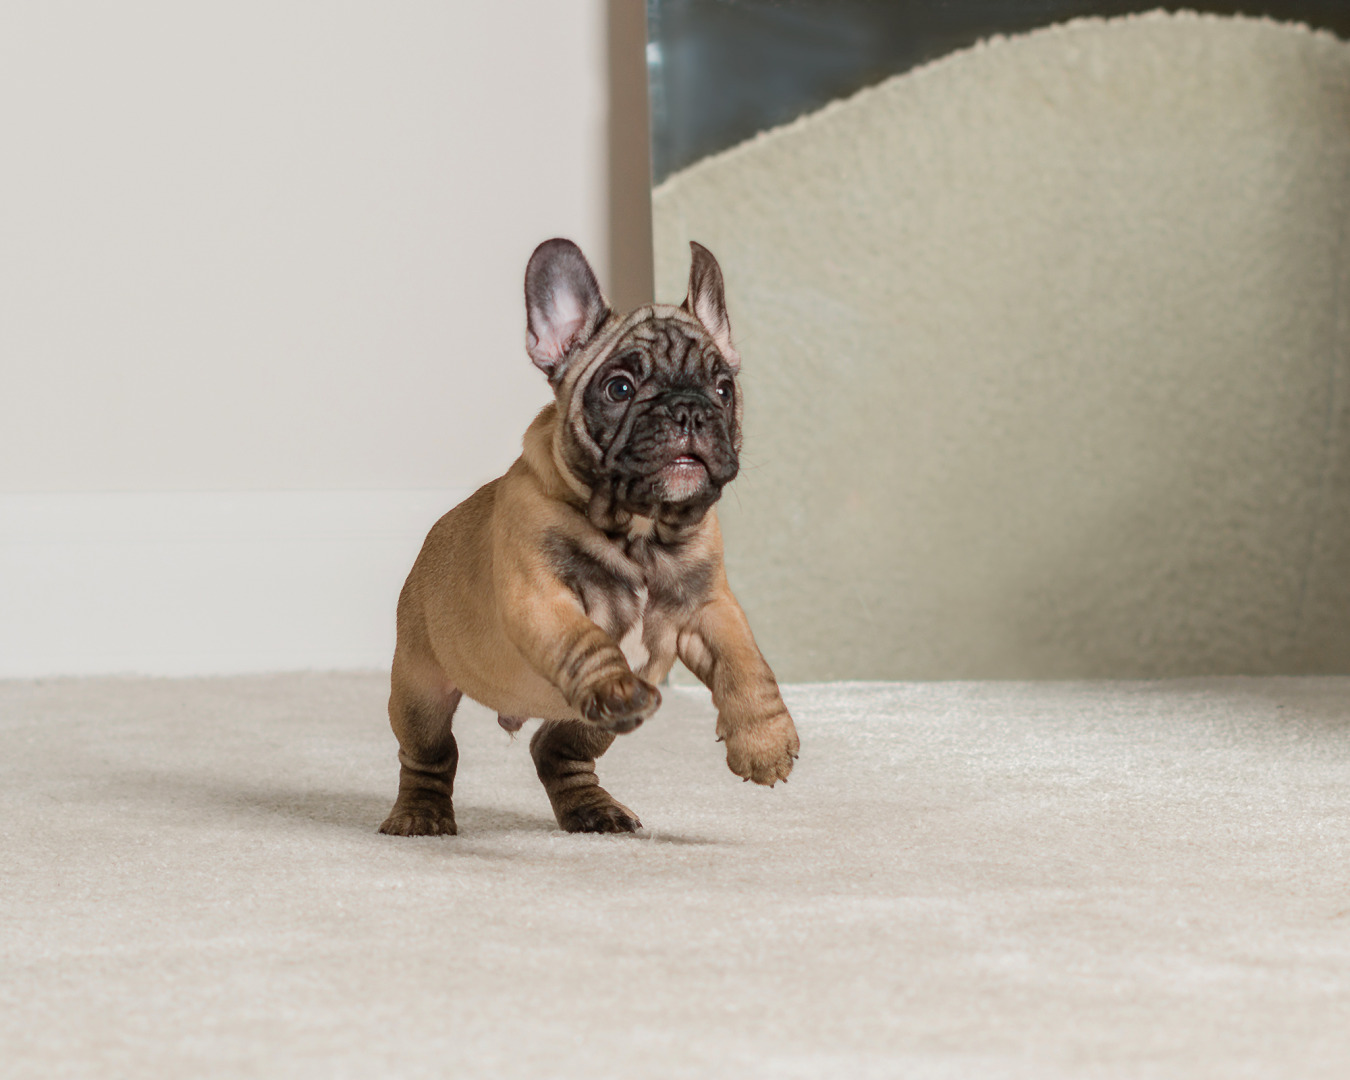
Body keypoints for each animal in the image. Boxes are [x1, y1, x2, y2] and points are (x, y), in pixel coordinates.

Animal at [378, 243, 799, 837]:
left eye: (724, 389)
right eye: (619, 387)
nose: (691, 409)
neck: (642, 530)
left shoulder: (711, 607)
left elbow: (748, 667)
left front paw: (765, 743)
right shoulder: (540, 598)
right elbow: (589, 644)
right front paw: (615, 684)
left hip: (591, 724)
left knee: (557, 751)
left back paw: (594, 810)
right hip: (420, 687)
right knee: (430, 754)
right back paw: (420, 813)